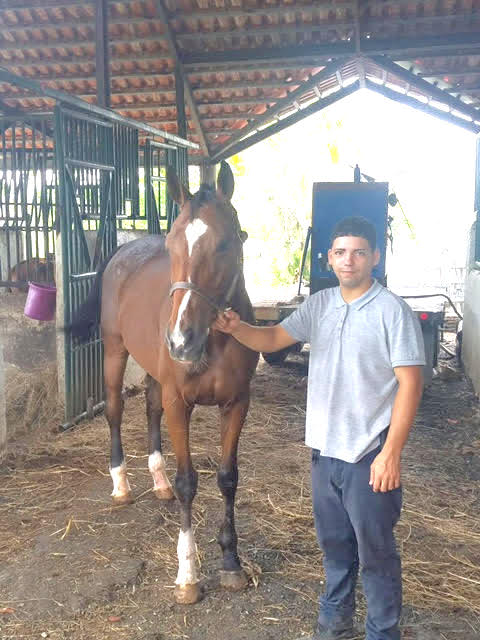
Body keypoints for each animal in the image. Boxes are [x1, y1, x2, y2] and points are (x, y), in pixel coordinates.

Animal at [69, 161, 258, 604]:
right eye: (173, 246)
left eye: (226, 243)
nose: (180, 341)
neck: (215, 339)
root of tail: (122, 252)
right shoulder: (179, 402)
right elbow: (189, 482)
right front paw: (187, 574)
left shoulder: (237, 403)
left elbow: (228, 478)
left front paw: (231, 562)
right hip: (114, 351)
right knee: (116, 410)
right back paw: (121, 484)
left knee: (150, 410)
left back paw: (158, 482)